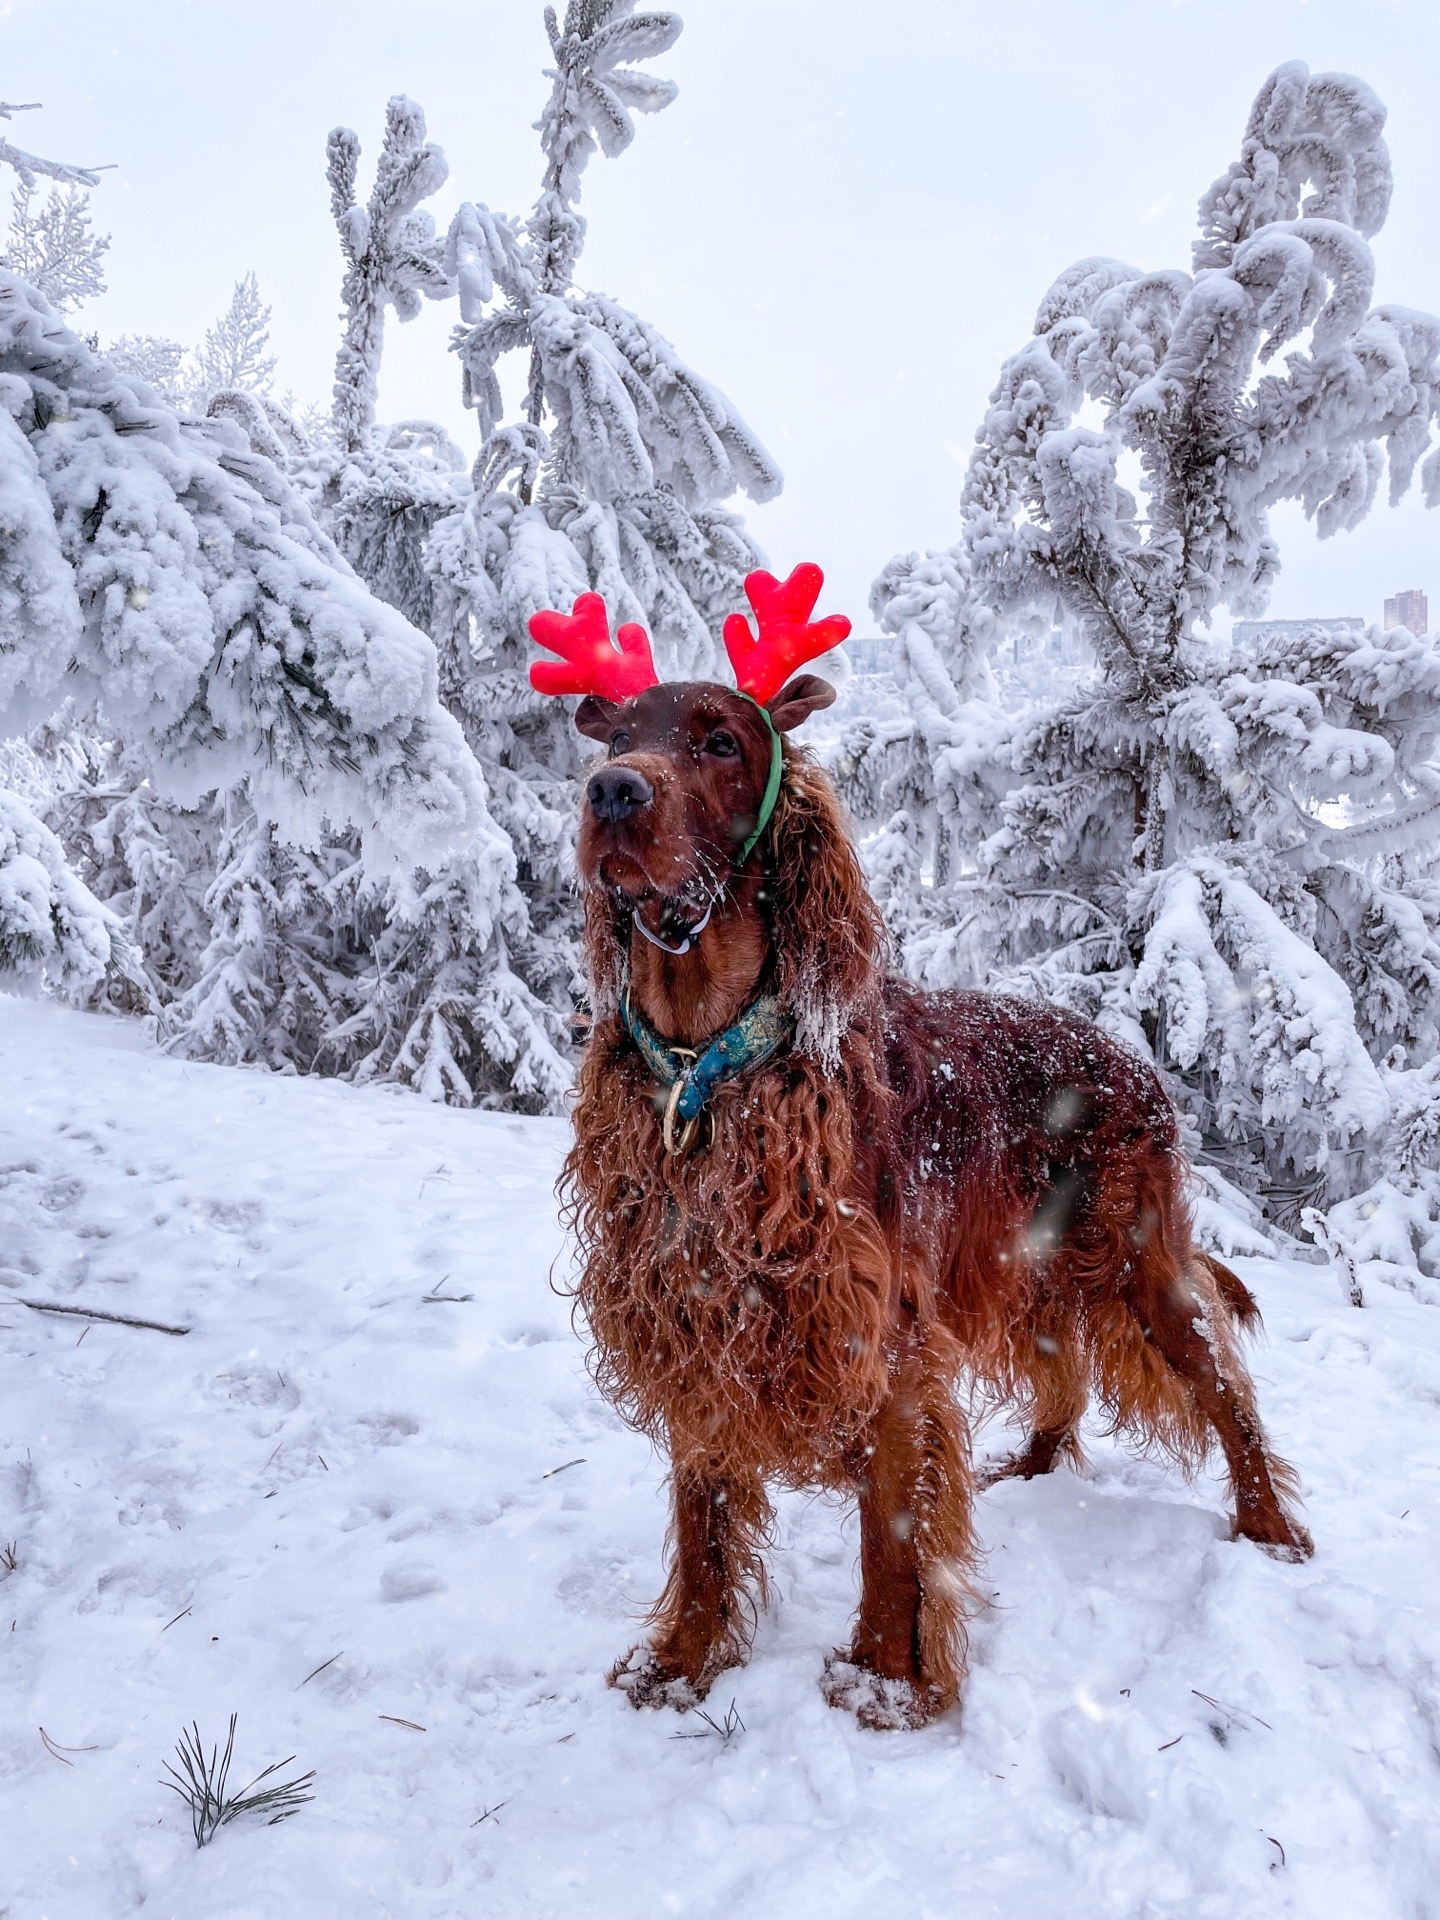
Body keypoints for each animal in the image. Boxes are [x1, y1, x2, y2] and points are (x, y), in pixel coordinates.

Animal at [549, 656, 1305, 1728]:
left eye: (720, 741)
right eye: (617, 740)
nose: (613, 793)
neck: (709, 1067)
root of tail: (1132, 1057)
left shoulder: (884, 1341)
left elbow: (893, 1529)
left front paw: (887, 1680)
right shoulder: (700, 1318)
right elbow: (703, 1523)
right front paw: (682, 1661)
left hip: (1139, 1262)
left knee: (1228, 1392)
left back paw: (1271, 1529)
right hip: (1031, 1267)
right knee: (1064, 1369)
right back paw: (1031, 1463)